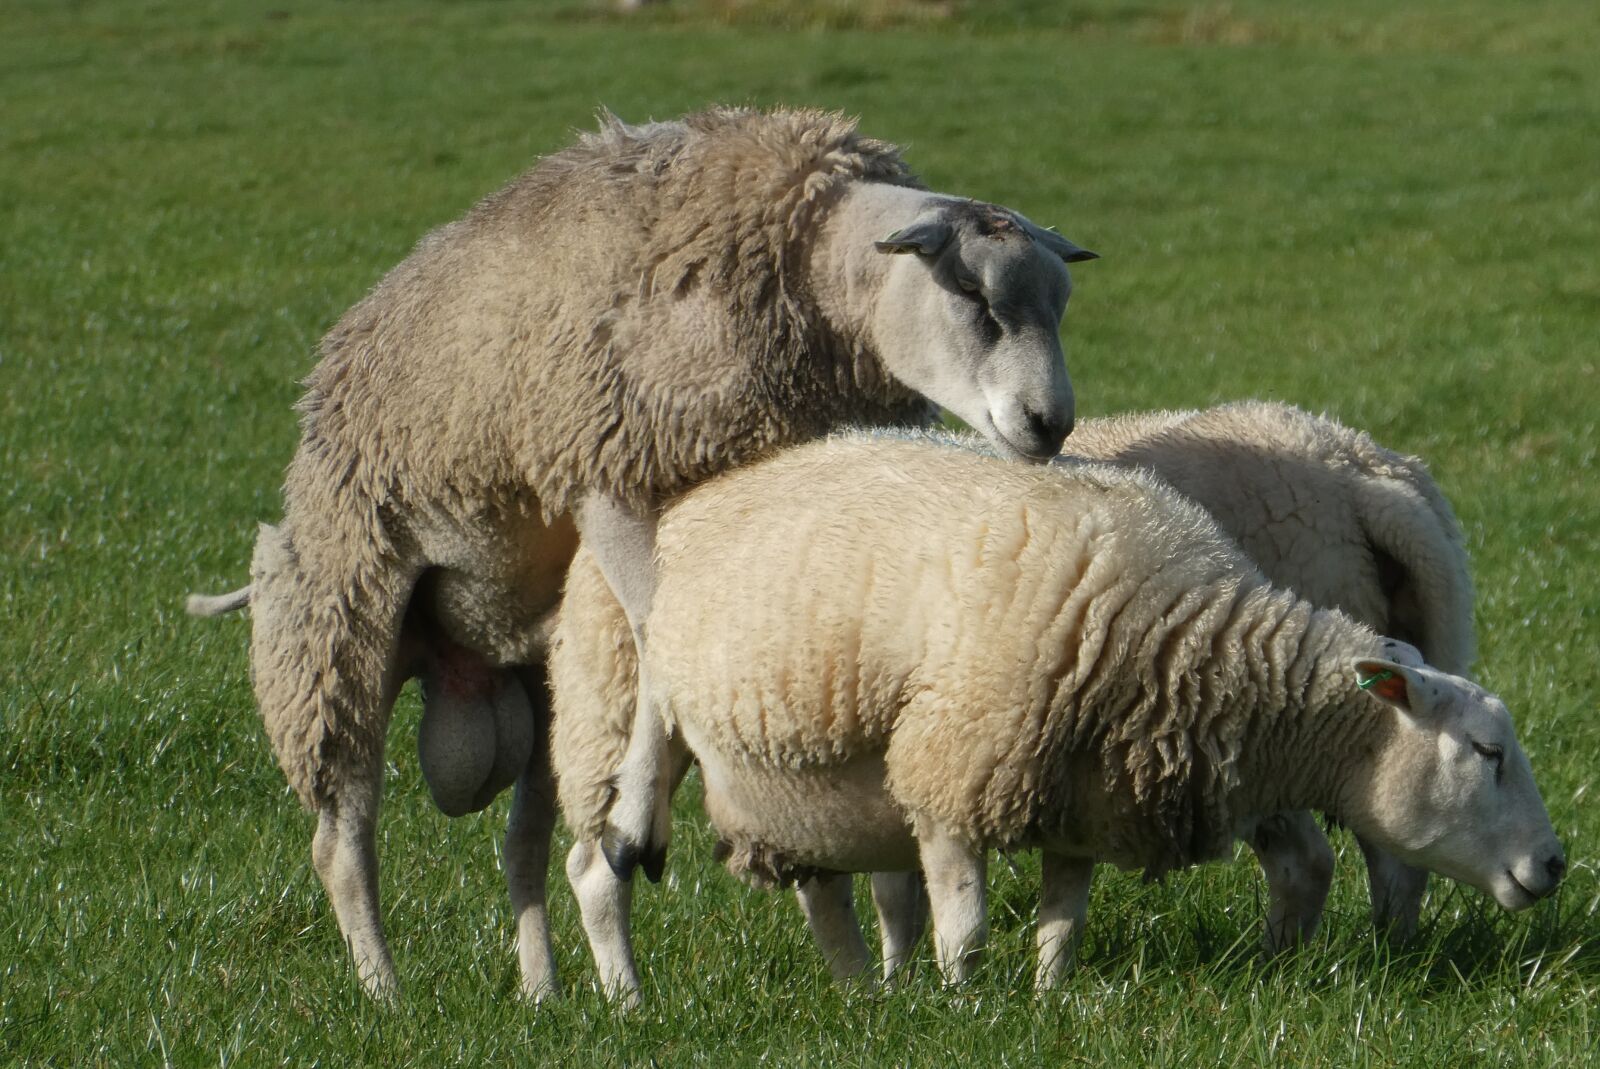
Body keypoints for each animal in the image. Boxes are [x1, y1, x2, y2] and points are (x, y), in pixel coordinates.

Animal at [192, 105, 1097, 999]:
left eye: (1062, 304)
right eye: (974, 296)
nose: (1050, 422)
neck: (806, 277)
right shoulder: (608, 478)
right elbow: (660, 628)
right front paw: (639, 817)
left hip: (538, 677)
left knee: (521, 845)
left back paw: (545, 988)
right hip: (337, 624)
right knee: (342, 836)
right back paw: (386, 988)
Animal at [550, 430, 1562, 997]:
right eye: (1486, 751)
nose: (1555, 863)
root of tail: (694, 499)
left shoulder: (1081, 792)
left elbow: (1061, 921)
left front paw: (1044, 1000)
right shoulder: (951, 762)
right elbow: (963, 923)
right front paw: (964, 1007)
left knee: (820, 886)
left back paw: (863, 998)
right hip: (630, 717)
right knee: (600, 865)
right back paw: (627, 995)